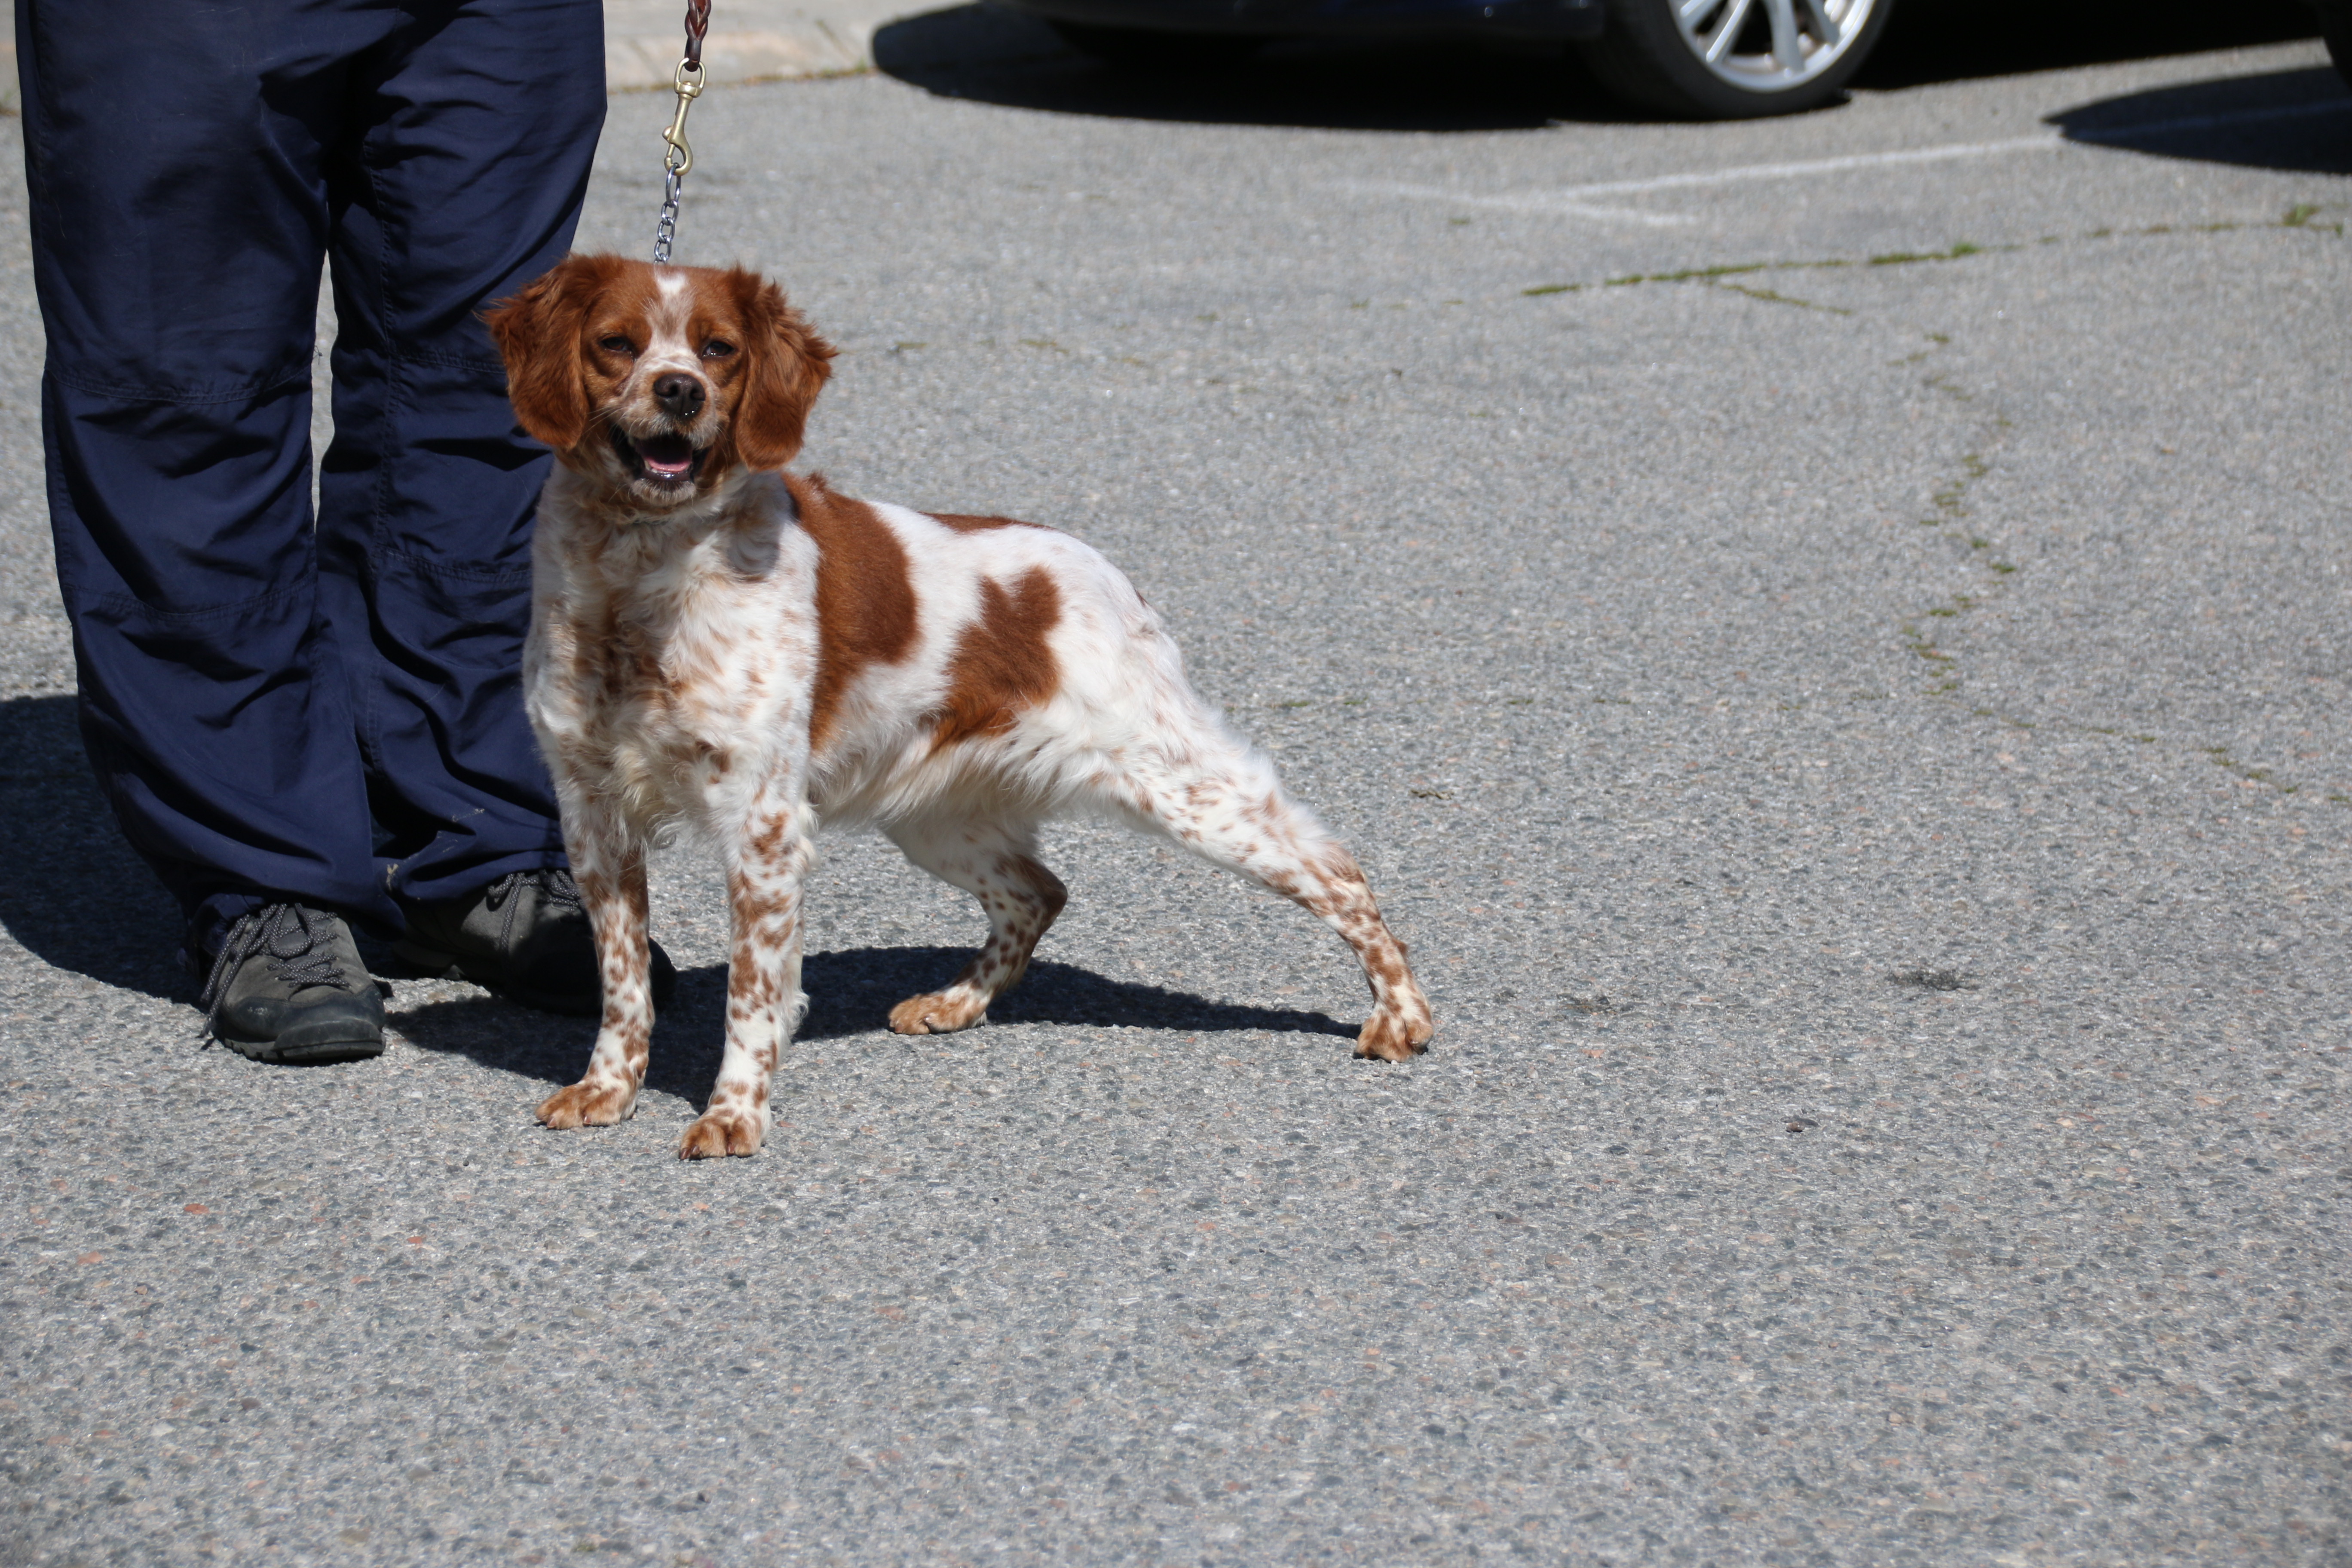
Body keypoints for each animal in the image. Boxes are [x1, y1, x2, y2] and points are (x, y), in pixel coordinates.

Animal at [480, 257, 1430, 1161]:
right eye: (617, 344)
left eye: (719, 350)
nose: (679, 391)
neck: (639, 576)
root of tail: (1108, 574)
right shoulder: (593, 814)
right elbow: (624, 982)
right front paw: (607, 1090)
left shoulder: (761, 821)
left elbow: (752, 996)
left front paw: (734, 1114)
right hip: (936, 816)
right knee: (1038, 890)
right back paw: (956, 1001)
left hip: (1181, 787)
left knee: (1335, 868)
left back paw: (1402, 1015)